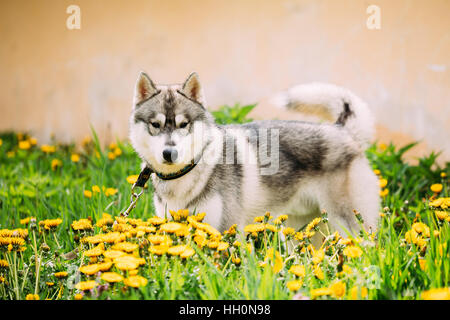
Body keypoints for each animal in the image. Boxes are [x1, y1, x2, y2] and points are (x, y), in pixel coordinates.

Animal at [130, 72, 380, 235]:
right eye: (155, 124)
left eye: (184, 124)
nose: (169, 153)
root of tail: (342, 129)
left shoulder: (225, 231)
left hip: (350, 227)